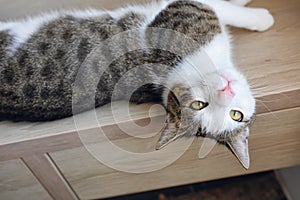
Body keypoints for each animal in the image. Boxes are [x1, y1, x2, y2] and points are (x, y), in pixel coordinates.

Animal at [0, 0, 274, 169]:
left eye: (235, 115)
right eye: (199, 105)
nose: (225, 91)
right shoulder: (186, 9)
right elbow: (219, 4)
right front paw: (257, 14)